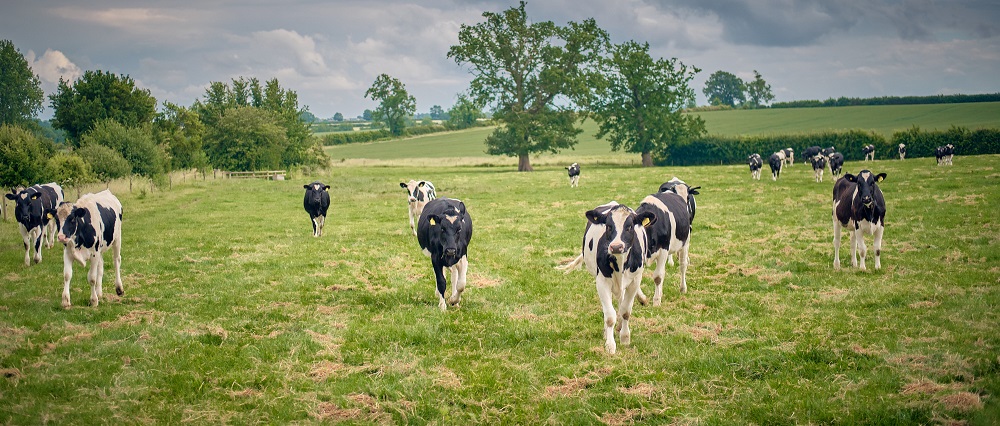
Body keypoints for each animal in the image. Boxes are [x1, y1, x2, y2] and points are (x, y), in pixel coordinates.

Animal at [558, 201, 656, 354]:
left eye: (629, 226)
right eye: (609, 226)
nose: (616, 246)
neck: (620, 263)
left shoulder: (635, 281)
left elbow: (626, 311)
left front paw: (625, 337)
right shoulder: (602, 282)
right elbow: (609, 315)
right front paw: (610, 344)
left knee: (621, 303)